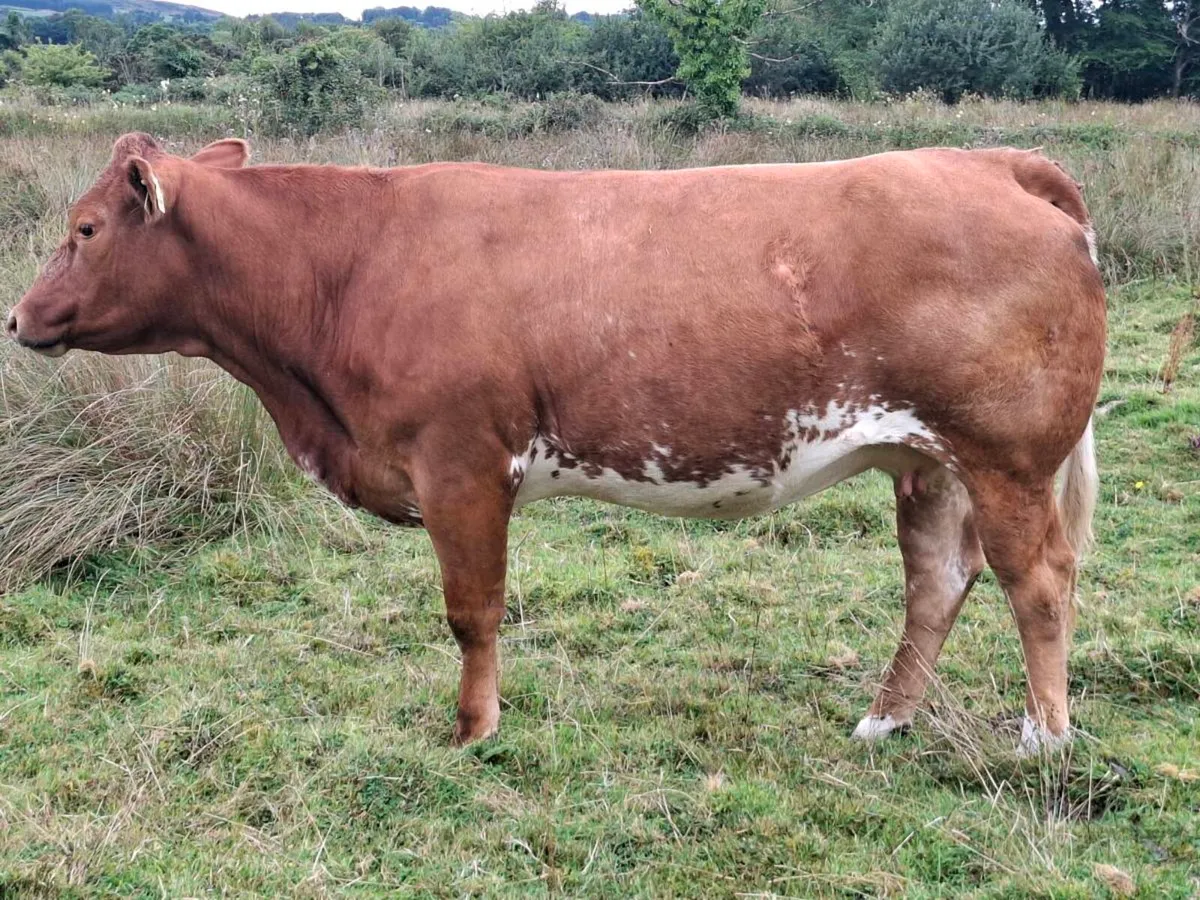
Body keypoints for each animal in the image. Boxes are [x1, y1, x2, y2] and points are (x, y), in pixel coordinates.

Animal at [7, 133, 1105, 751]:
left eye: (87, 229)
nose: (19, 317)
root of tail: (992, 161)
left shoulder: (458, 462)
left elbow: (473, 612)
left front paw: (472, 730)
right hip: (932, 462)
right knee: (939, 580)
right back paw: (886, 719)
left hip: (1007, 458)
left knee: (1039, 580)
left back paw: (1044, 739)